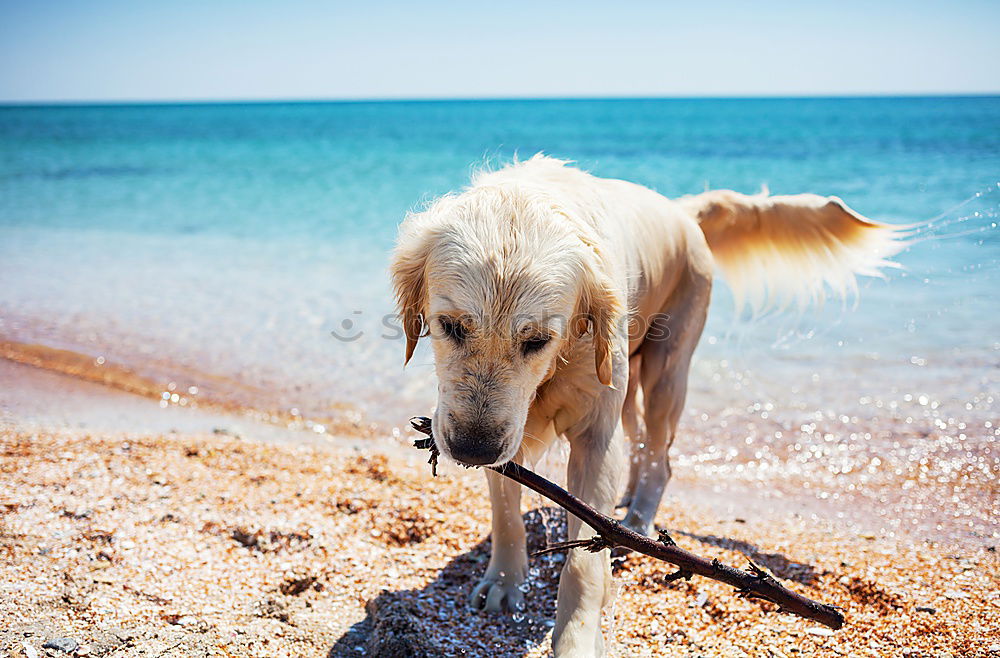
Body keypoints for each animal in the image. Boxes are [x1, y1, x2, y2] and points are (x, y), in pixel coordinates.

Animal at [388, 156, 900, 652]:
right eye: (451, 326)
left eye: (538, 340)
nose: (471, 451)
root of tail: (680, 208)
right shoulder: (508, 432)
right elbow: (506, 512)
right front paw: (504, 582)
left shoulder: (593, 437)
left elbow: (583, 560)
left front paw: (576, 637)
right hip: (629, 381)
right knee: (637, 446)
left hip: (666, 372)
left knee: (660, 458)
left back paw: (636, 521)